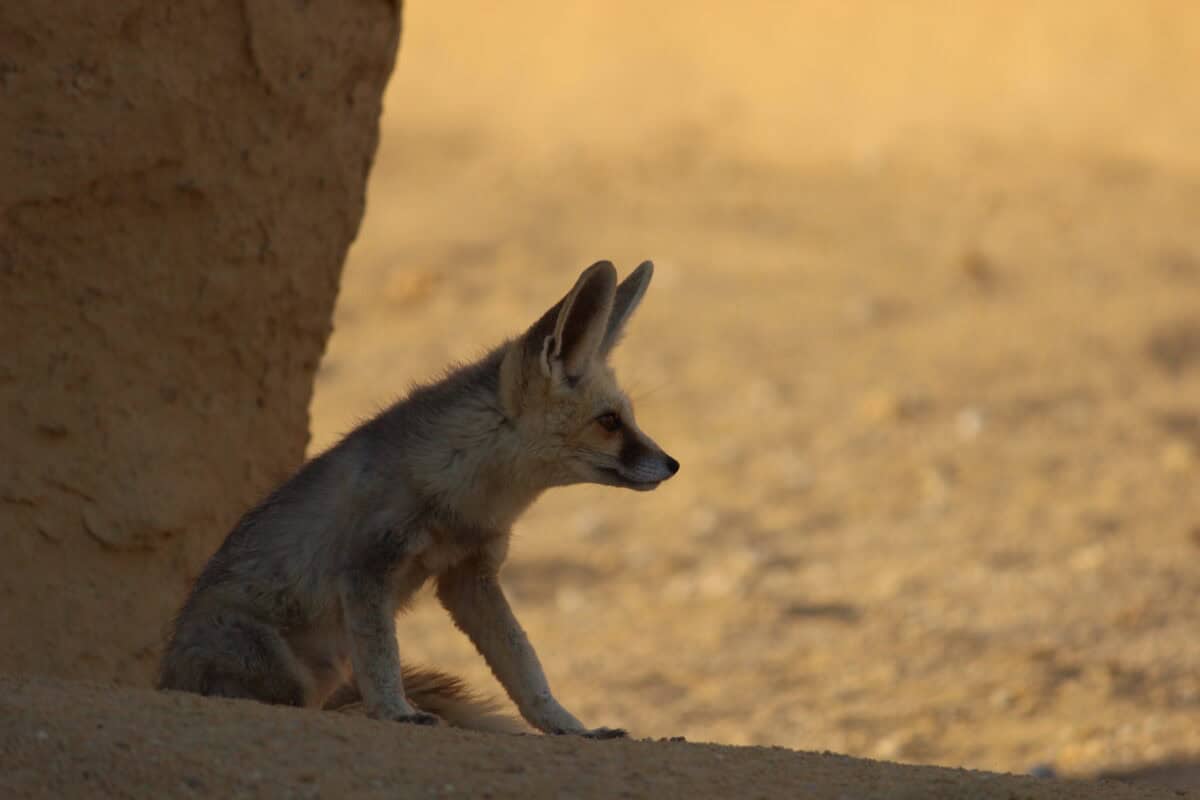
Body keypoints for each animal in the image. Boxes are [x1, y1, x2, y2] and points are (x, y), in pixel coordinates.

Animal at [158, 260, 679, 738]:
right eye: (610, 422)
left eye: (628, 418)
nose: (672, 464)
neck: (471, 496)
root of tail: (164, 676)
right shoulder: (366, 567)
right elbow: (381, 658)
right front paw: (397, 712)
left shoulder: (470, 576)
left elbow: (525, 666)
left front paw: (569, 726)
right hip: (284, 669)